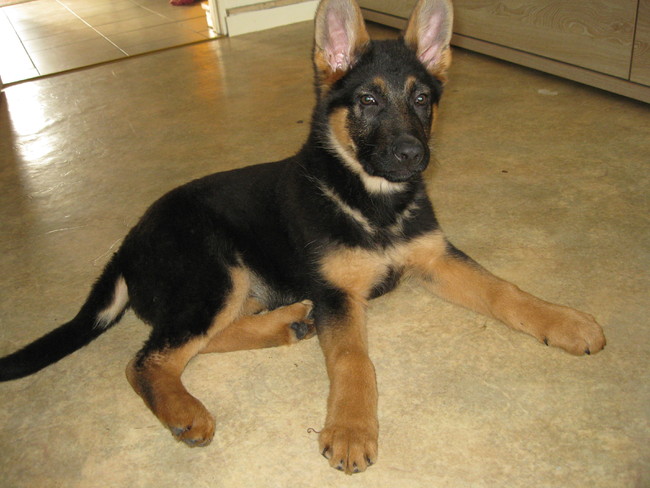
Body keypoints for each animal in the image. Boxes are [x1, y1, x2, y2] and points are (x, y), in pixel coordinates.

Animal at [0, 0, 605, 475]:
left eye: (422, 100)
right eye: (367, 101)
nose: (413, 156)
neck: (370, 201)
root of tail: (125, 246)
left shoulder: (435, 257)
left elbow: (504, 290)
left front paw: (565, 321)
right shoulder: (337, 294)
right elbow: (355, 359)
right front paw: (353, 428)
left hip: (231, 287)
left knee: (191, 340)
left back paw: (286, 323)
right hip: (217, 270)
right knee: (148, 359)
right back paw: (188, 411)